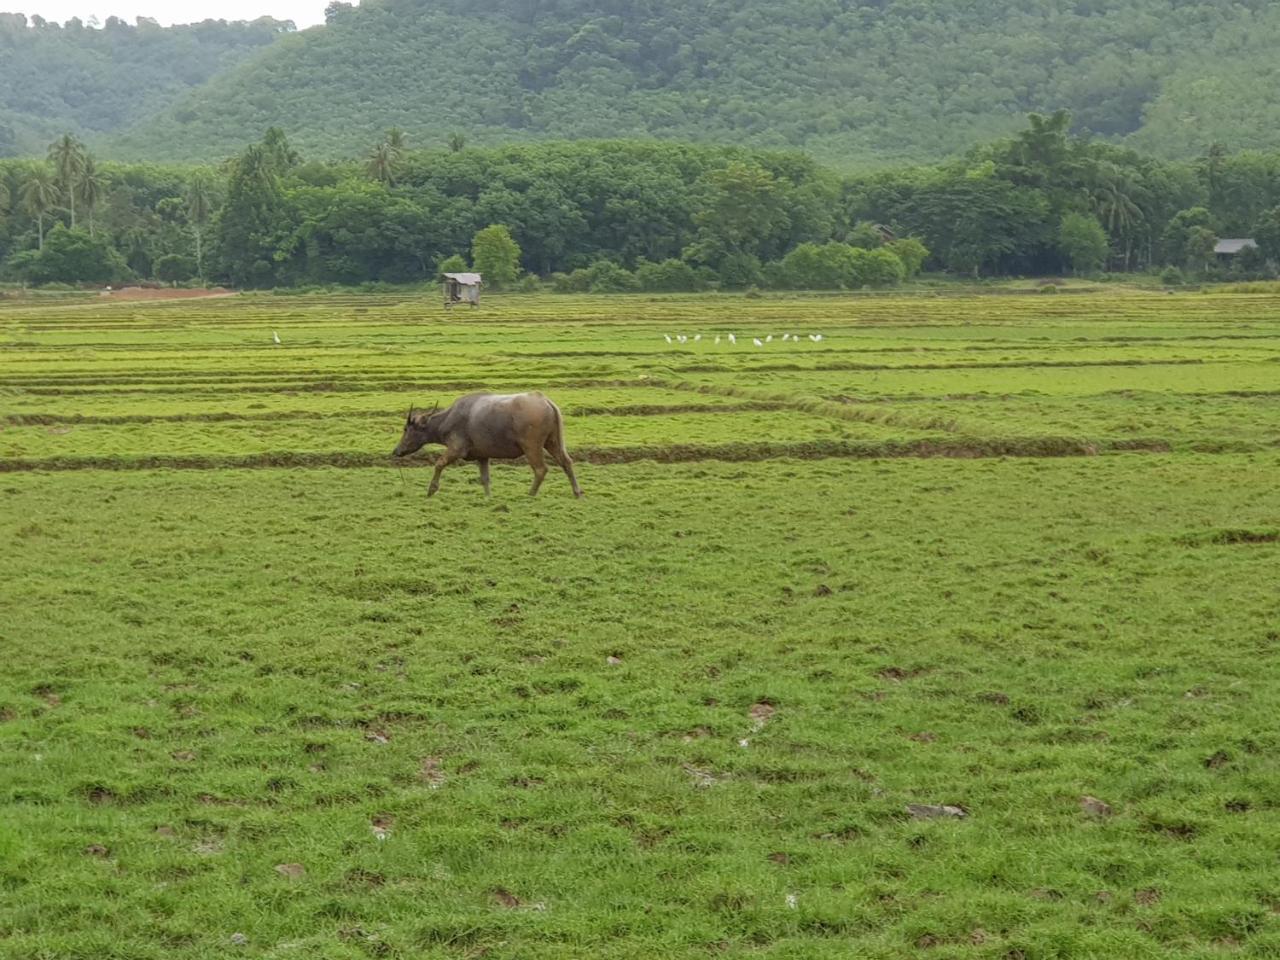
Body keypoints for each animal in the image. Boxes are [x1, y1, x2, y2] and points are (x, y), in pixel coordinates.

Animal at [394, 391, 586, 499]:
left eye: (406, 429)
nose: (396, 451)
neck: (448, 419)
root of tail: (546, 401)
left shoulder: (456, 449)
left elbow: (439, 464)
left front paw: (431, 490)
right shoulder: (482, 456)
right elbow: (485, 478)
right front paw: (488, 497)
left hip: (532, 446)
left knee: (541, 469)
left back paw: (530, 494)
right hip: (553, 442)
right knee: (566, 462)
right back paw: (577, 492)